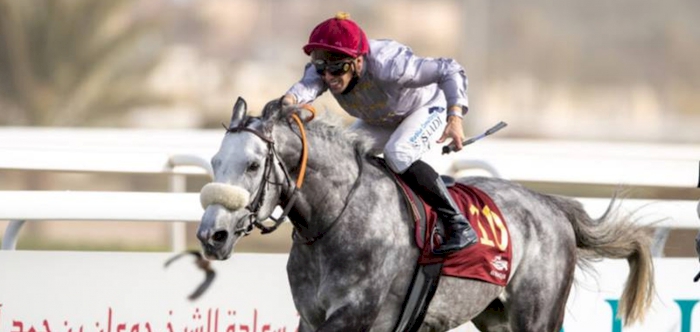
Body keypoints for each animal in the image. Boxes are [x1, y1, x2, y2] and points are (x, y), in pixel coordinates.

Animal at [197, 98, 656, 332]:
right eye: (216, 161)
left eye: (253, 165)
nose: (211, 236)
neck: (336, 222)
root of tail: (550, 205)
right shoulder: (311, 318)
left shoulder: (352, 317)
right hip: (496, 317)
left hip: (538, 315)